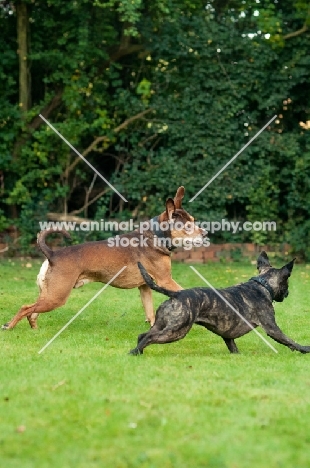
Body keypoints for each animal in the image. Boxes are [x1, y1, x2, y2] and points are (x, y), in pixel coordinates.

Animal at [2, 185, 207, 330]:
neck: (157, 236)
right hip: (57, 296)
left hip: (48, 294)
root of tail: (52, 254)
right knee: (25, 308)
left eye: (194, 221)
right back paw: (9, 326)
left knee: (32, 312)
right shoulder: (165, 280)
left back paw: (34, 329)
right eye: (187, 226)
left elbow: (150, 313)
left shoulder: (144, 287)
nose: (205, 233)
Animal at [130, 252, 310, 354]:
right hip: (176, 330)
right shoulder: (272, 328)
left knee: (143, 335)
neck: (262, 285)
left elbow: (233, 347)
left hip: (162, 324)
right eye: (287, 283)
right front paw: (305, 349)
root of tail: (177, 294)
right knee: (150, 337)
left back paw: (138, 351)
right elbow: (289, 341)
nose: (287, 294)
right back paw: (135, 352)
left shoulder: (228, 335)